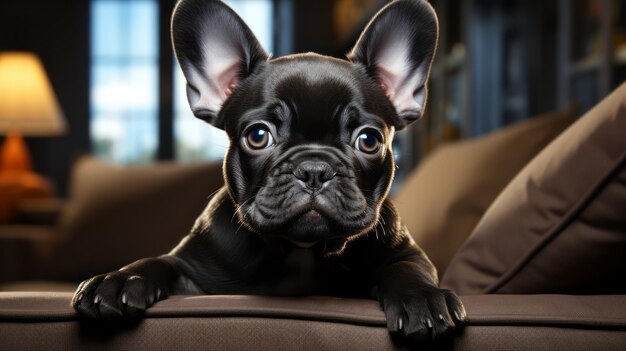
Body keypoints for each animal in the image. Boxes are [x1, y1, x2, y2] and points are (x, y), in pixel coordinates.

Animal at [72, 0, 464, 342]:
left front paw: (422, 299)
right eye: (258, 136)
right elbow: (157, 262)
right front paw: (118, 280)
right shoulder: (191, 270)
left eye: (369, 140)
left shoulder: (406, 253)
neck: (302, 251)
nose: (314, 169)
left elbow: (406, 269)